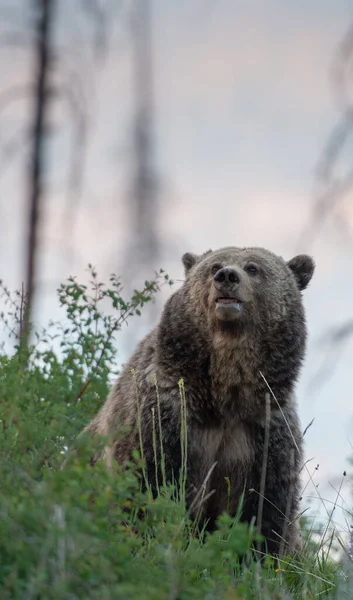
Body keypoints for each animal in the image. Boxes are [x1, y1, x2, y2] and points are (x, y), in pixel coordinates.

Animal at [84, 246, 314, 556]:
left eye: (253, 268)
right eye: (214, 265)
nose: (227, 276)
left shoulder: (264, 433)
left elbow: (267, 511)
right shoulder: (168, 415)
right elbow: (148, 482)